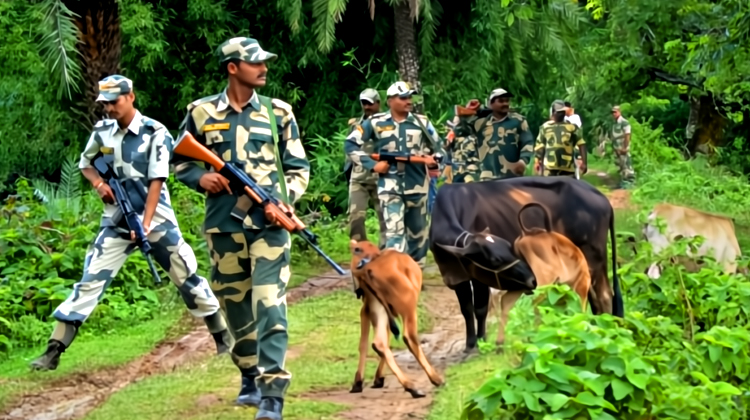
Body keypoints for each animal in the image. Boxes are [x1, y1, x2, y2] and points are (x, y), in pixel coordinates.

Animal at [348, 241, 446, 398]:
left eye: (358, 249)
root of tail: (368, 268)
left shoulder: (368, 310)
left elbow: (366, 343)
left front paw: (368, 381)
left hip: (377, 308)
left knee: (378, 343)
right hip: (408, 308)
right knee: (409, 338)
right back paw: (431, 381)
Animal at [496, 203, 596, 344]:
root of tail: (526, 233)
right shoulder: (580, 292)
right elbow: (581, 314)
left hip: (522, 284)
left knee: (506, 301)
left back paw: (500, 342)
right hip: (544, 282)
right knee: (535, 302)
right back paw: (535, 335)